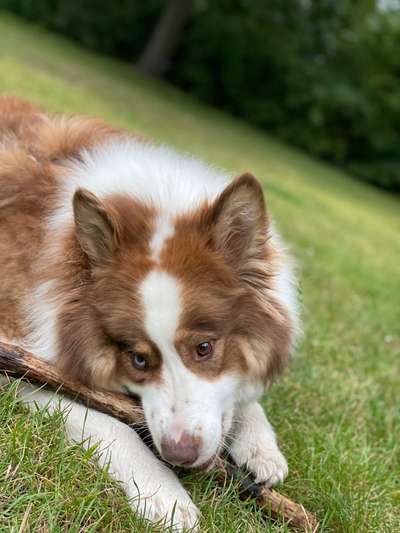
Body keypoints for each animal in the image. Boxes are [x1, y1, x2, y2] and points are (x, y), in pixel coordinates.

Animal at [0, 96, 298, 528]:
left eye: (204, 348)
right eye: (138, 359)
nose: (180, 455)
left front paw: (261, 446)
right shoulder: (21, 350)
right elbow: (109, 422)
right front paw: (166, 496)